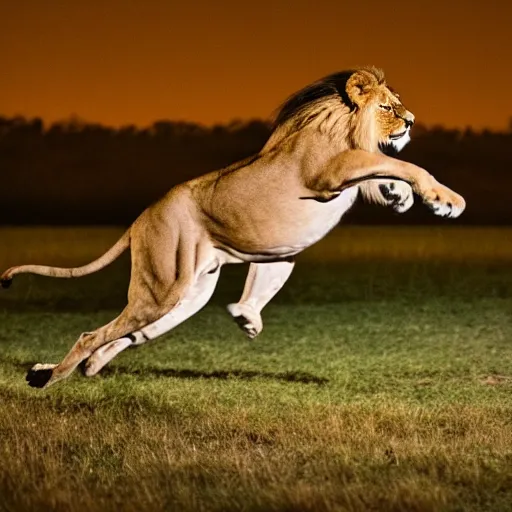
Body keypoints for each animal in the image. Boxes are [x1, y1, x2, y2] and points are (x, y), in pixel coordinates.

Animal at [0, 67, 466, 388]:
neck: (345, 126)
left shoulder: (344, 173)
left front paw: (402, 196)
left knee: (127, 334)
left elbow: (385, 169)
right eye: (387, 107)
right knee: (90, 333)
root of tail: (140, 217)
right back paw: (49, 378)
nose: (410, 121)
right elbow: (400, 163)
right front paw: (444, 200)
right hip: (161, 287)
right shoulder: (326, 174)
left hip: (189, 296)